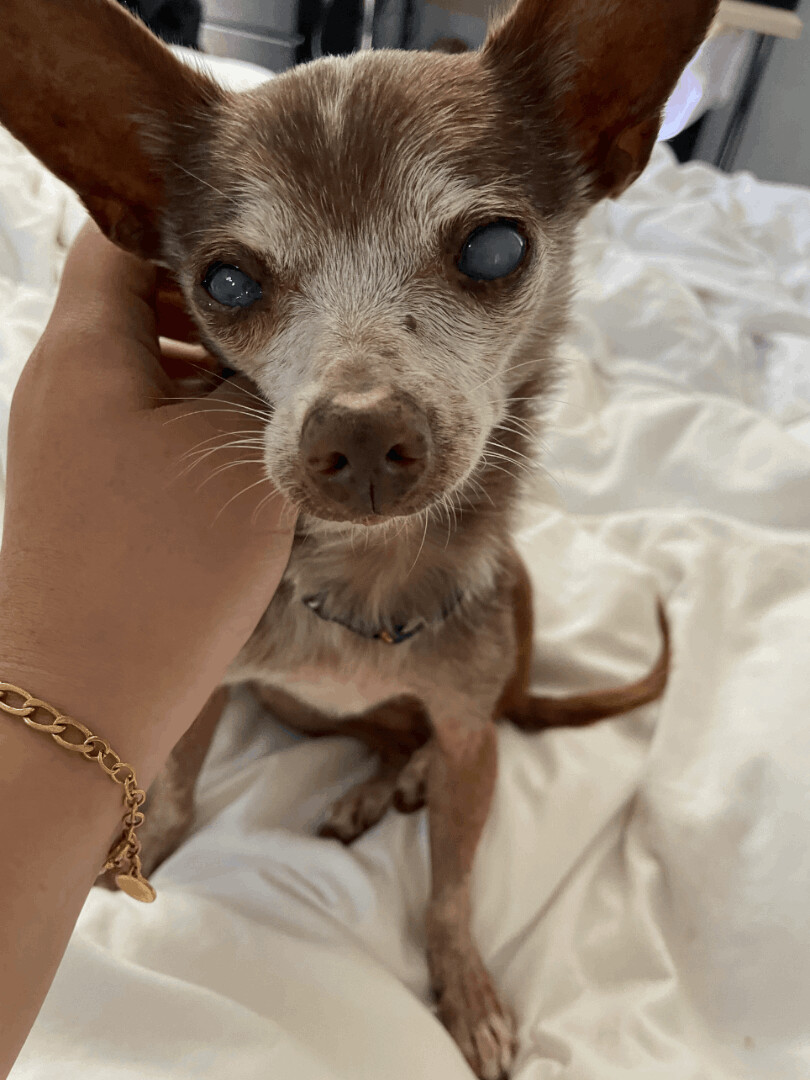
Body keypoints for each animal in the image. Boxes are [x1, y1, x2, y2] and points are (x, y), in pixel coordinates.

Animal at [0, 1, 718, 1075]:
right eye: (225, 281)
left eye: (496, 250)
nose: (361, 433)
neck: (369, 585)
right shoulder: (215, 690)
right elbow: (176, 787)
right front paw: (153, 845)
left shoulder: (471, 745)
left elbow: (453, 890)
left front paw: (465, 988)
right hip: (292, 709)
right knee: (376, 732)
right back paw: (371, 788)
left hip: (511, 630)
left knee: (443, 736)